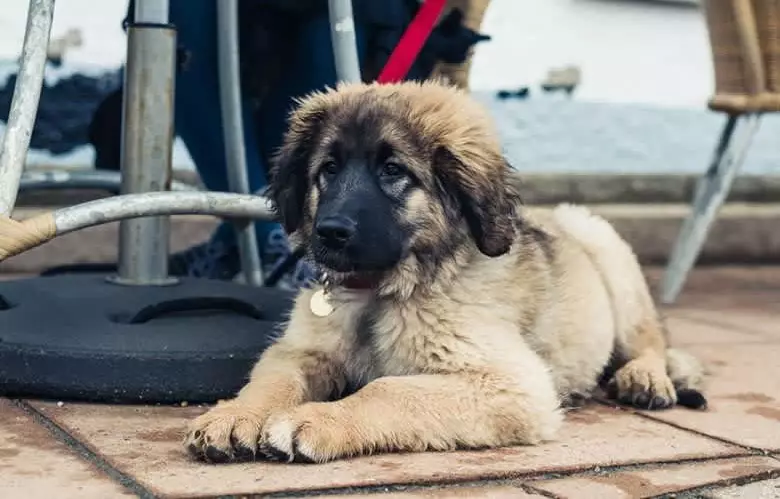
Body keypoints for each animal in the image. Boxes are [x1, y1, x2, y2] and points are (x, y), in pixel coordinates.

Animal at [184, 78, 708, 464]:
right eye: (328, 169)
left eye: (393, 171)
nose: (328, 233)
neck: (383, 290)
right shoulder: (302, 350)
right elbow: (272, 380)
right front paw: (236, 415)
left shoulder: (511, 383)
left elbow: (388, 389)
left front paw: (317, 420)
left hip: (601, 240)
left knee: (650, 339)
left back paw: (646, 378)